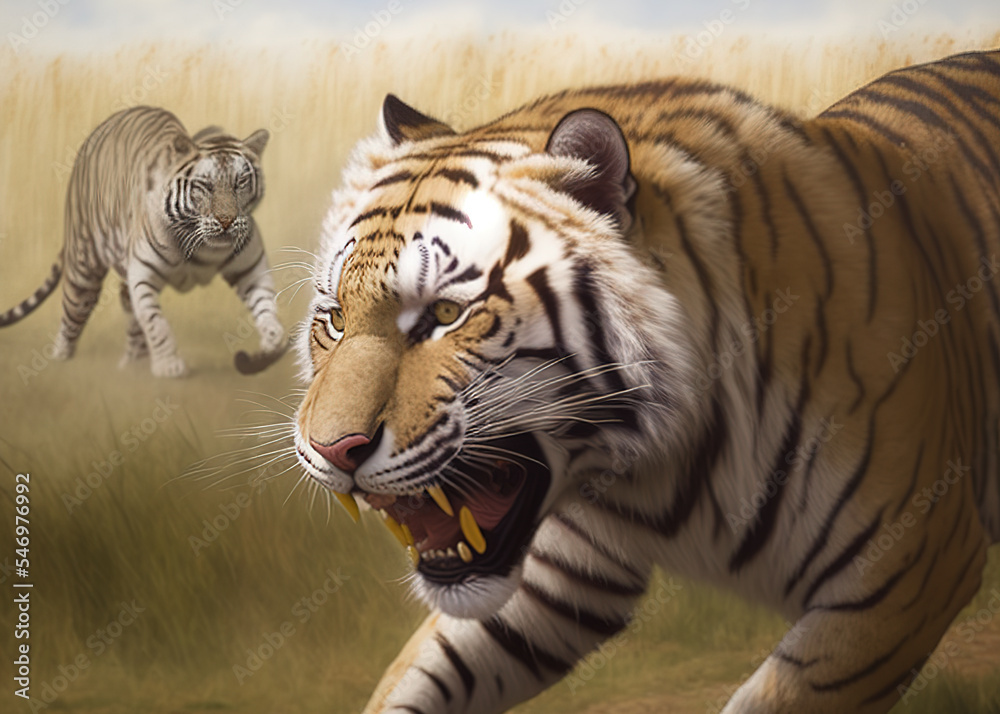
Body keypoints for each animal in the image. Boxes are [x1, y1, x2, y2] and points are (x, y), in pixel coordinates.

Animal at [0, 106, 287, 377]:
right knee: (71, 316)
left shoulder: (251, 268)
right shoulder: (143, 274)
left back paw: (134, 365)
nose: (226, 221)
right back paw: (59, 360)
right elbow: (155, 323)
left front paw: (273, 340)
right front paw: (168, 366)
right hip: (84, 270)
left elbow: (265, 305)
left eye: (241, 182)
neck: (203, 247)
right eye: (204, 186)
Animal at [292, 49, 1000, 713]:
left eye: (445, 314)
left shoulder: (907, 567)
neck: (656, 466)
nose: (333, 451)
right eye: (335, 318)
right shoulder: (559, 577)